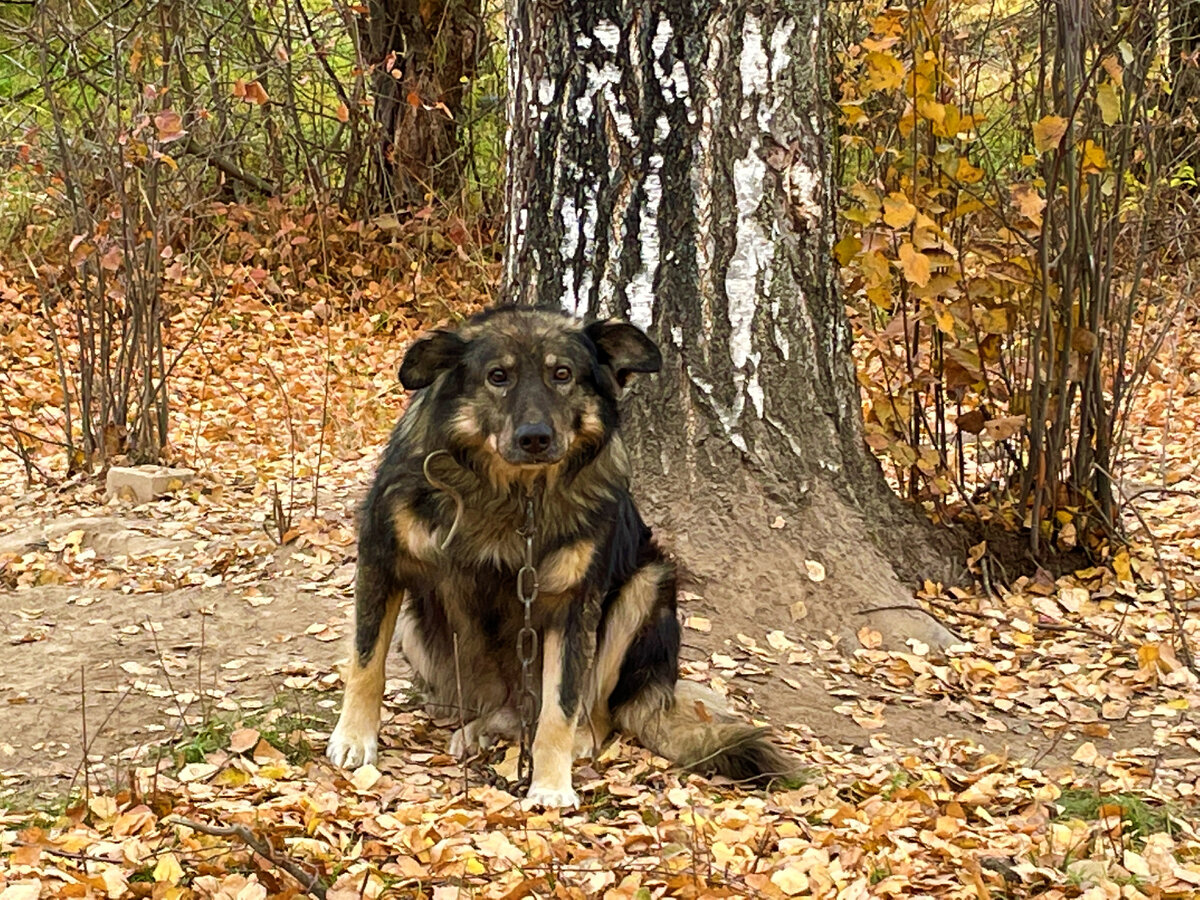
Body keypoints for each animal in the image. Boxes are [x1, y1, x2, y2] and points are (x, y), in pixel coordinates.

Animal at [331, 307, 796, 806]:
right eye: (498, 376)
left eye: (562, 374)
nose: (535, 438)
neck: (512, 494)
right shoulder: (381, 557)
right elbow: (365, 661)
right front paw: (355, 737)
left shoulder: (571, 606)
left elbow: (561, 706)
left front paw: (551, 786)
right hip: (419, 635)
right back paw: (479, 728)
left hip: (646, 584)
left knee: (595, 713)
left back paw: (568, 742)